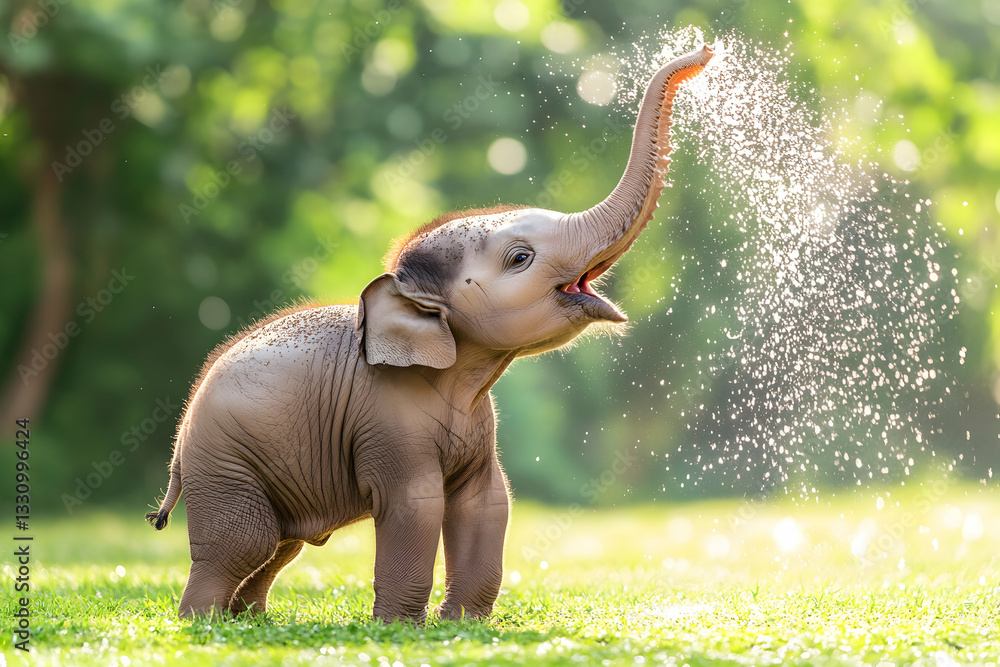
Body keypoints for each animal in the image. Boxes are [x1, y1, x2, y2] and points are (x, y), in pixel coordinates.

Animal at [146, 44, 713, 622]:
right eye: (520, 259)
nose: (703, 52)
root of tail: (179, 443)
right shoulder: (386, 419)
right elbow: (416, 503)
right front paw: (402, 626)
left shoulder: (478, 426)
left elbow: (488, 500)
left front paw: (460, 622)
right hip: (224, 460)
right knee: (248, 540)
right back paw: (204, 622)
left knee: (285, 544)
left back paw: (250, 619)